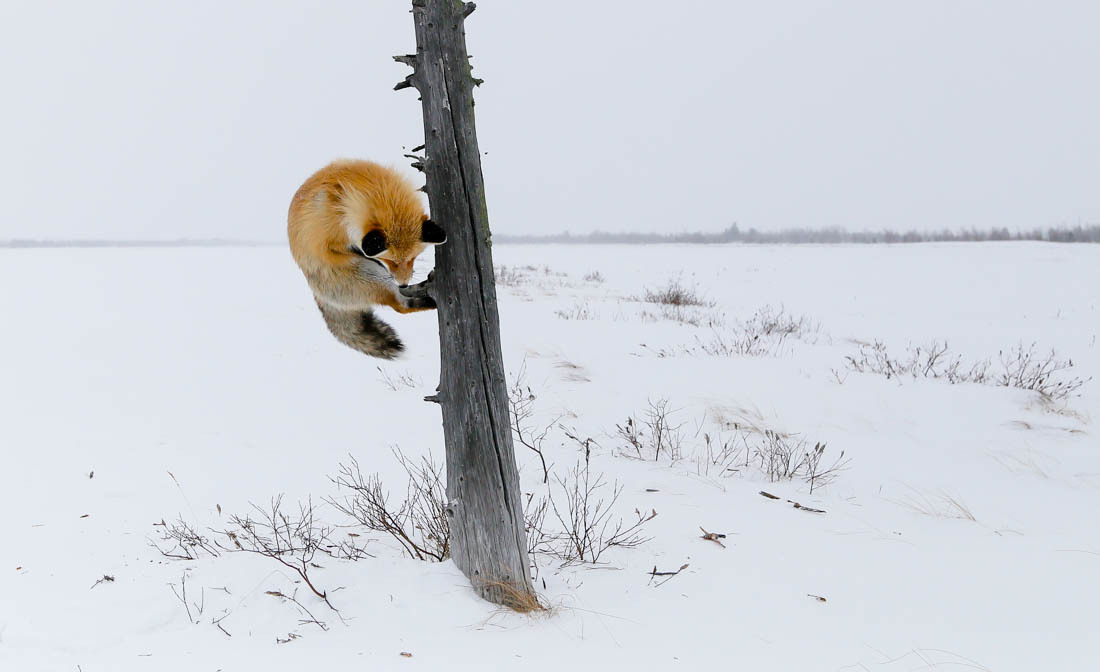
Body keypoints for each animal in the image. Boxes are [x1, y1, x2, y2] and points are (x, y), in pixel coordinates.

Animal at [292, 160, 451, 360]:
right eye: (391, 261)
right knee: (401, 306)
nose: (403, 283)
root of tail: (314, 289)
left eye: (412, 258)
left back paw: (423, 287)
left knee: (404, 296)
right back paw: (429, 300)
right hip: (371, 274)